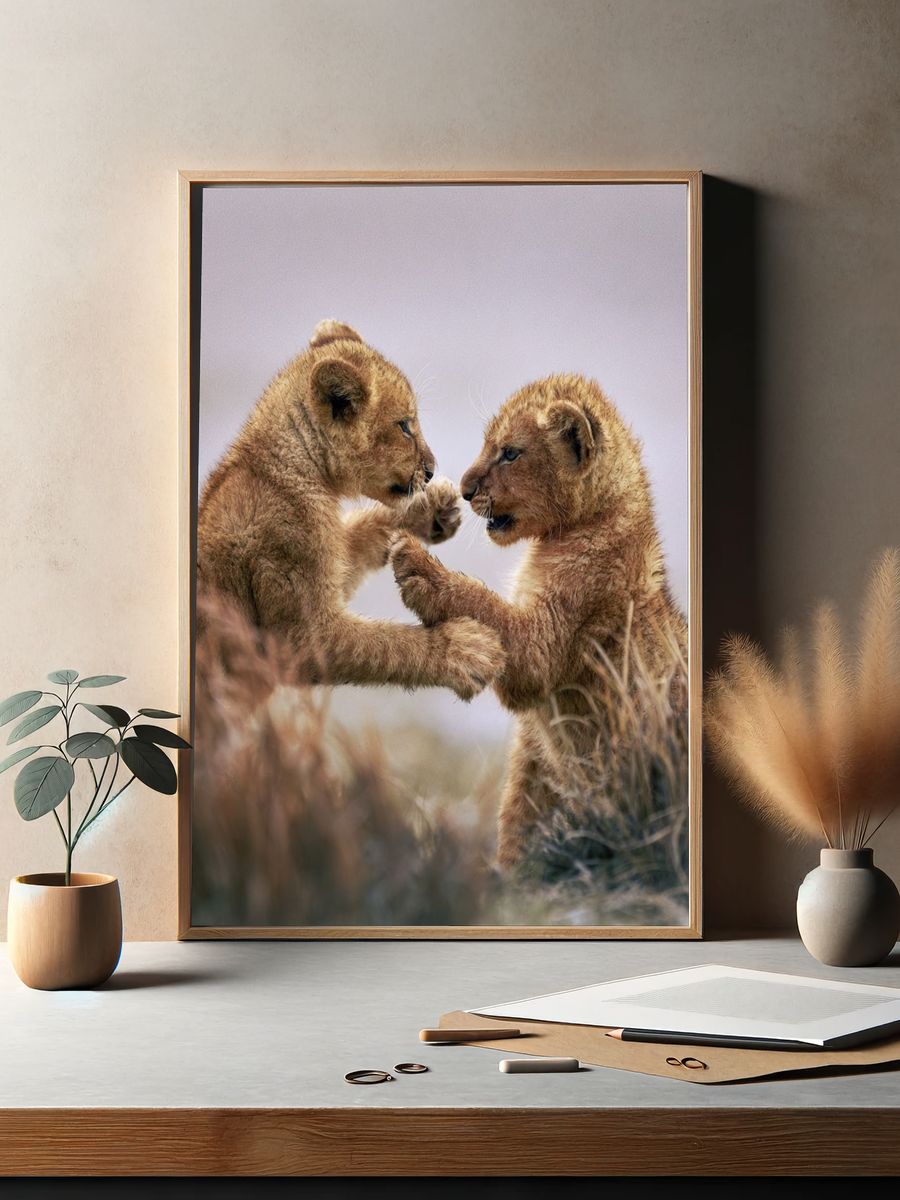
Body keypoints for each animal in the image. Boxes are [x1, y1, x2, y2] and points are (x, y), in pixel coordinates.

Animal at [197, 319, 504, 700]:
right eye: (405, 424)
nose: (431, 470)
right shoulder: (296, 630)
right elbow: (386, 645)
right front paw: (464, 650)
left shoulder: (328, 558)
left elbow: (357, 539)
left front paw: (435, 508)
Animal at [390, 373, 687, 867]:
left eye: (510, 452)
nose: (465, 490)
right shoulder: (535, 747)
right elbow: (520, 807)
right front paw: (512, 871)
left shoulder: (548, 641)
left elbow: (490, 609)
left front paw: (415, 563)